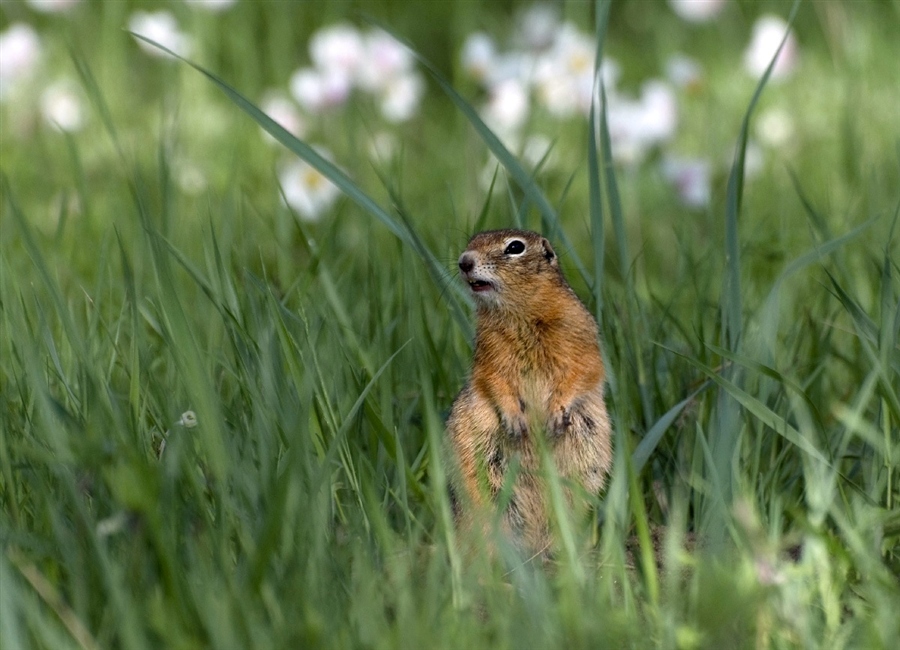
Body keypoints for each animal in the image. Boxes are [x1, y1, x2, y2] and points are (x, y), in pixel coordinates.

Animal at [444, 229, 612, 556]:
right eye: (471, 241)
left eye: (515, 247)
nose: (464, 262)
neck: (519, 312)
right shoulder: (488, 356)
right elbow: (493, 381)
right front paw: (515, 419)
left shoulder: (580, 335)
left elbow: (582, 372)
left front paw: (557, 413)